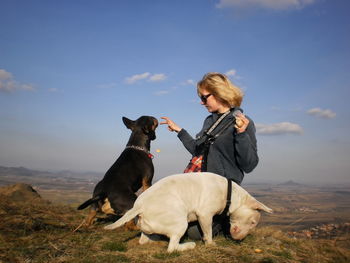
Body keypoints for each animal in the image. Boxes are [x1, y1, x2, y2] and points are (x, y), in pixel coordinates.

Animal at [104, 173, 274, 254]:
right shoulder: (205, 215)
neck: (230, 194)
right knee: (172, 248)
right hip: (181, 222)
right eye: (253, 222)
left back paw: (155, 240)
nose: (239, 240)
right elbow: (208, 232)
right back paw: (188, 245)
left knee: (144, 240)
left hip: (148, 227)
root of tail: (139, 206)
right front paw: (211, 244)